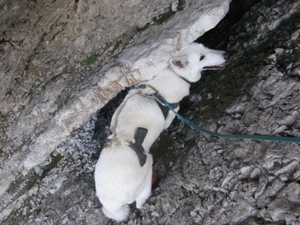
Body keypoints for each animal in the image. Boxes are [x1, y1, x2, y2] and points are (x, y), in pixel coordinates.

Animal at [95, 42, 226, 221]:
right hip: (147, 165)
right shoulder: (171, 112)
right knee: (140, 201)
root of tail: (112, 202)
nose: (224, 53)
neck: (174, 74)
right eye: (201, 57)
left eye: (205, 47)